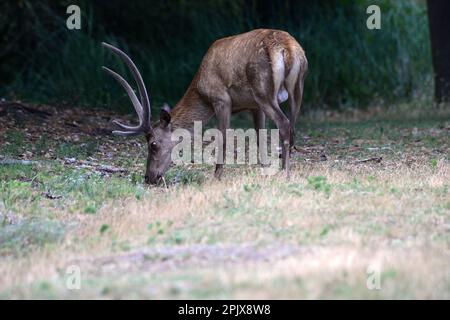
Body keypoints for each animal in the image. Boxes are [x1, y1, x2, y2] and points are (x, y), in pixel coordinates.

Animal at [103, 30, 306, 185]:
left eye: (153, 144)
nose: (149, 178)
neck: (201, 89)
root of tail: (286, 48)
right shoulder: (253, 106)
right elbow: (260, 138)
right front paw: (264, 170)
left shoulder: (221, 99)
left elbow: (223, 138)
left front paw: (215, 178)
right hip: (297, 87)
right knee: (292, 127)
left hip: (263, 91)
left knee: (285, 124)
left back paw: (286, 174)